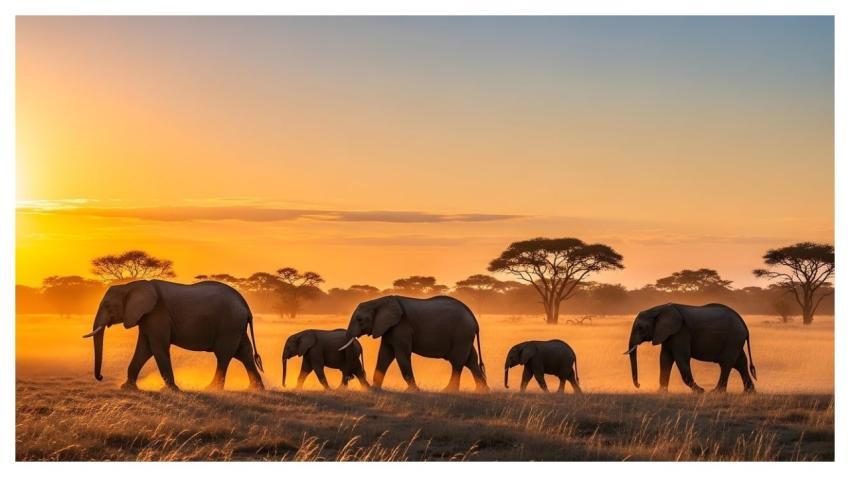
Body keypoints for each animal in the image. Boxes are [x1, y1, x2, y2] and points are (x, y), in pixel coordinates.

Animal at [82, 280, 264, 391]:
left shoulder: (157, 314)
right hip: (236, 326)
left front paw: (171, 390)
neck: (131, 285)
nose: (101, 377)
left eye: (107, 305)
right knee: (244, 353)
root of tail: (245, 305)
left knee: (224, 355)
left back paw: (211, 389)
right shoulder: (147, 317)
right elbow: (144, 348)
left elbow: (158, 347)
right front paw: (127, 388)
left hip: (229, 325)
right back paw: (255, 390)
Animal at [340, 295, 488, 392]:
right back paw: (482, 392)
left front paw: (413, 391)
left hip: (462, 334)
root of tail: (473, 317)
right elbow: (384, 355)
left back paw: (448, 391)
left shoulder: (402, 326)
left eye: (359, 320)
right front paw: (375, 389)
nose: (350, 378)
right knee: (471, 361)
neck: (378, 301)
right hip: (465, 336)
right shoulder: (389, 328)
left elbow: (401, 355)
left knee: (457, 362)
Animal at [625, 303, 757, 393]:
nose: (639, 385)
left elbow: (681, 359)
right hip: (736, 340)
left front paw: (700, 391)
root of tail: (744, 324)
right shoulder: (668, 334)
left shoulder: (681, 332)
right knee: (740, 363)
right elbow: (664, 359)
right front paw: (661, 392)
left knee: (726, 364)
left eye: (640, 327)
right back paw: (749, 393)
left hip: (733, 339)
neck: (658, 309)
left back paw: (715, 392)